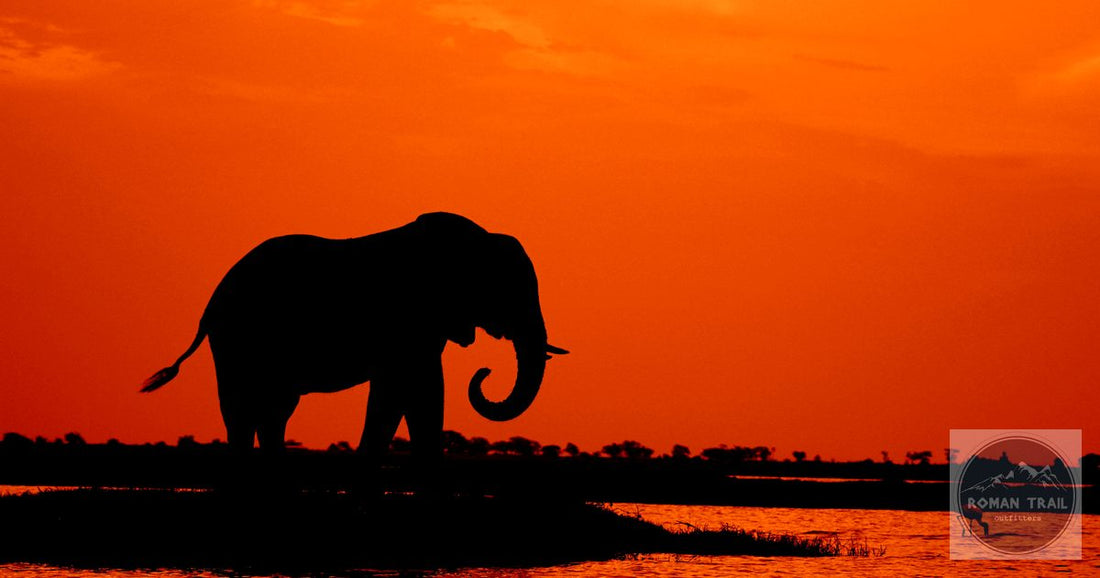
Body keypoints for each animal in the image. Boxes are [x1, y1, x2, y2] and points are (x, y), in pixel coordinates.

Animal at [141, 212, 567, 464]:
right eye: (508, 290)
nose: (484, 372)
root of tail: (211, 303)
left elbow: (408, 394)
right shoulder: (408, 319)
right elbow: (415, 390)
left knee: (273, 412)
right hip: (237, 339)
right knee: (242, 412)